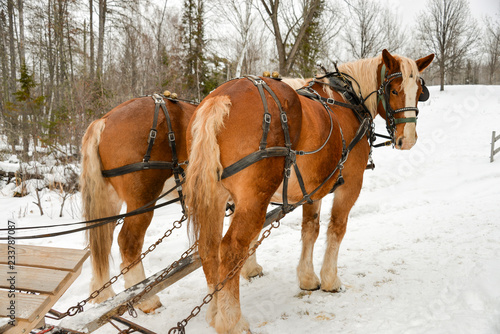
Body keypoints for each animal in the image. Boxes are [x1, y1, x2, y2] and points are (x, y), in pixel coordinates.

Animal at [79, 94, 195, 314]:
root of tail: (103, 121)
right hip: (143, 198)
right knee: (128, 242)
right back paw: (145, 299)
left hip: (109, 199)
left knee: (102, 243)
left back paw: (104, 296)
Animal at [184, 50, 434, 334]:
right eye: (394, 90)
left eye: (419, 91)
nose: (408, 140)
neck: (350, 101)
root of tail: (219, 99)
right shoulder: (350, 184)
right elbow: (336, 228)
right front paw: (330, 280)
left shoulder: (313, 188)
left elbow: (310, 229)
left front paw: (307, 278)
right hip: (253, 200)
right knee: (230, 249)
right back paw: (232, 321)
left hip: (214, 196)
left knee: (208, 247)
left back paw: (214, 311)